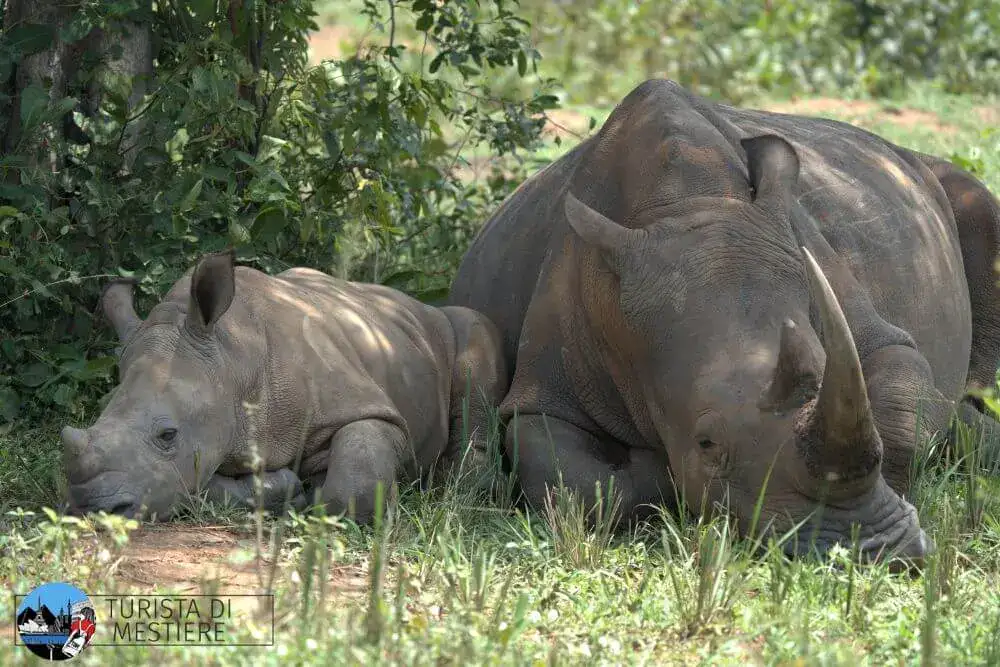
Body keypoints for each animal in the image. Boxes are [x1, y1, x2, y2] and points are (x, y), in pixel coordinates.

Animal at [62, 250, 506, 521]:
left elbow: (352, 487)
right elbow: (195, 485)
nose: (90, 507)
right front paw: (287, 489)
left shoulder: (367, 408)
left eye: (168, 435)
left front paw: (312, 495)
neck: (234, 362)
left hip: (453, 328)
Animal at [449, 79, 1000, 563]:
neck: (687, 203)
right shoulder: (547, 389)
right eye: (706, 444)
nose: (873, 553)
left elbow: (899, 405)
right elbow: (577, 481)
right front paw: (661, 473)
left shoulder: (865, 323)